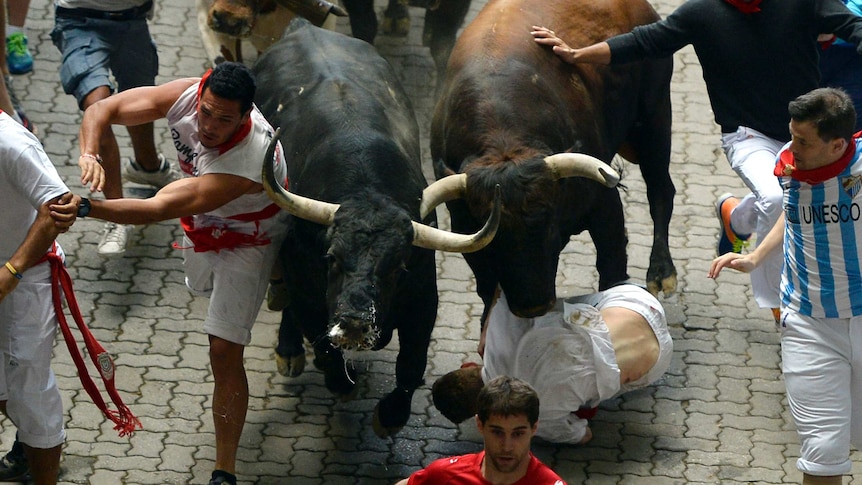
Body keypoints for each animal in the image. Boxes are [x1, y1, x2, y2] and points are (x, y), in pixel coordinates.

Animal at [253, 17, 502, 436]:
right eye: (332, 259)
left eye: (397, 266)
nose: (355, 322)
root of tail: (305, 27)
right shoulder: (307, 294)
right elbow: (323, 347)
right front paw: (338, 378)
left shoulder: (424, 300)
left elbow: (411, 365)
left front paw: (390, 416)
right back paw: (289, 353)